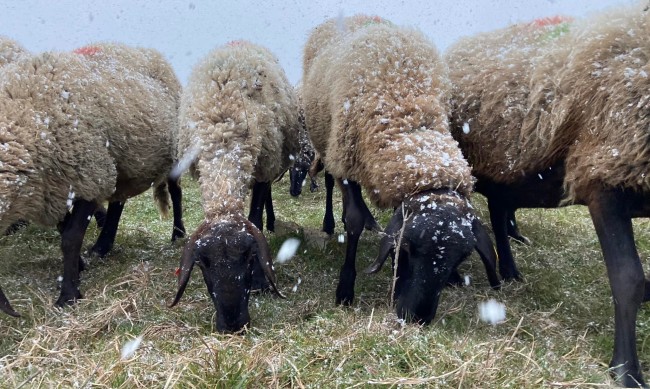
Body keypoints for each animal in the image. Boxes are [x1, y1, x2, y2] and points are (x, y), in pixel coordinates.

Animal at [0, 41, 185, 312]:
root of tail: (146, 50)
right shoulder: (53, 190)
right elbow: (63, 229)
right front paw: (79, 267)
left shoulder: (89, 178)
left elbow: (70, 237)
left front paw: (68, 294)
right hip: (122, 163)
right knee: (118, 202)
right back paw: (102, 246)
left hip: (171, 153)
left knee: (176, 192)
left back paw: (178, 234)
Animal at [167, 40, 298, 334]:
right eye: (203, 264)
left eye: (249, 258)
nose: (233, 324)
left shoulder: (263, 165)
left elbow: (255, 215)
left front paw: (261, 282)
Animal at [302, 19, 498, 322]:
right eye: (407, 247)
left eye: (461, 257)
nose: (416, 317)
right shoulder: (346, 160)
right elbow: (353, 220)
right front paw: (345, 289)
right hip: (327, 144)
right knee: (329, 182)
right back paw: (330, 223)